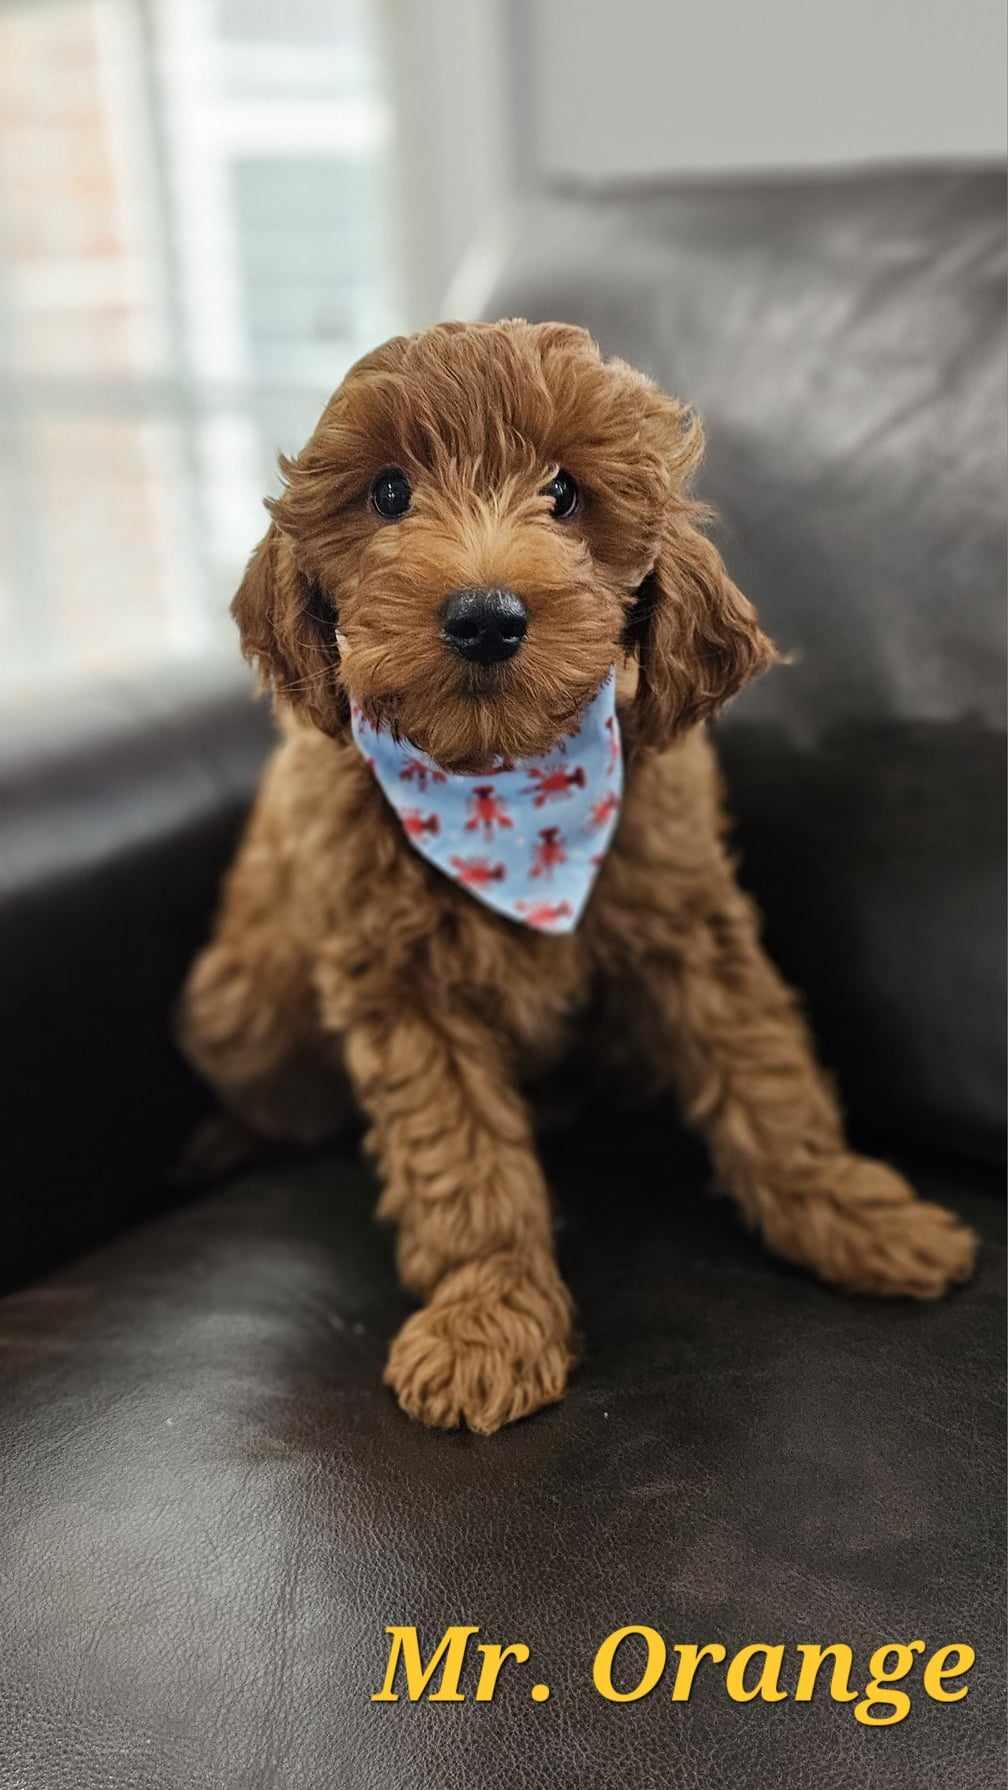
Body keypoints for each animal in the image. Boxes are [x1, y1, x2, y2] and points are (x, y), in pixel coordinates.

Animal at [179, 319, 976, 1434]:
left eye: (564, 493)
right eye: (388, 492)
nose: (485, 617)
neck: (500, 781)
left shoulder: (690, 922)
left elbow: (768, 1078)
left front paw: (853, 1214)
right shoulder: (402, 985)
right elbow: (460, 1163)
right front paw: (487, 1321)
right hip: (241, 1004)